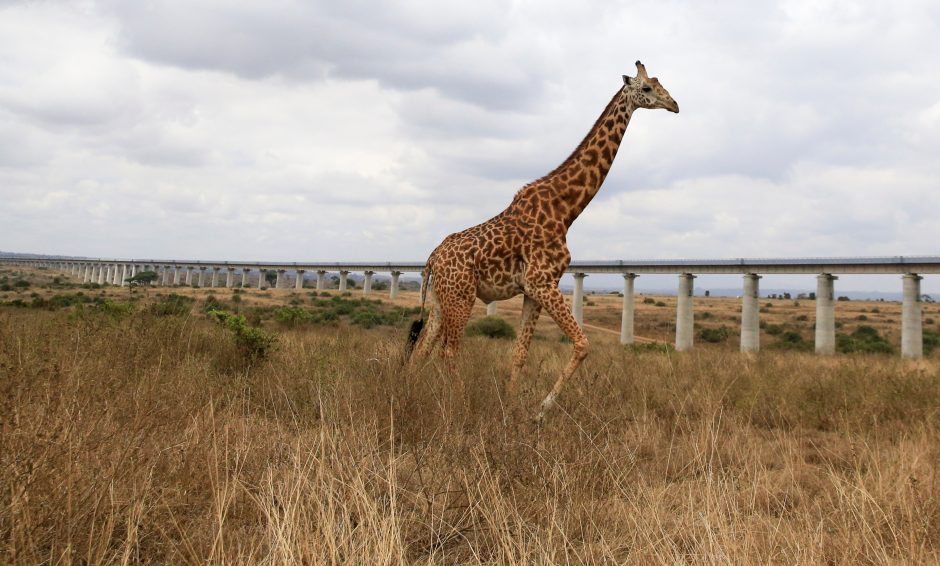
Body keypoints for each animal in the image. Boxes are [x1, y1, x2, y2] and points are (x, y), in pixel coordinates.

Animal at [408, 62, 680, 422]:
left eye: (660, 83)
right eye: (647, 88)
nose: (675, 105)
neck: (566, 209)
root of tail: (431, 259)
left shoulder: (533, 290)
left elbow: (520, 354)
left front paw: (510, 410)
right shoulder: (542, 282)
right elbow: (583, 344)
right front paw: (539, 411)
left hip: (442, 300)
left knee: (421, 350)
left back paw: (406, 398)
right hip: (461, 297)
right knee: (448, 351)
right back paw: (462, 407)